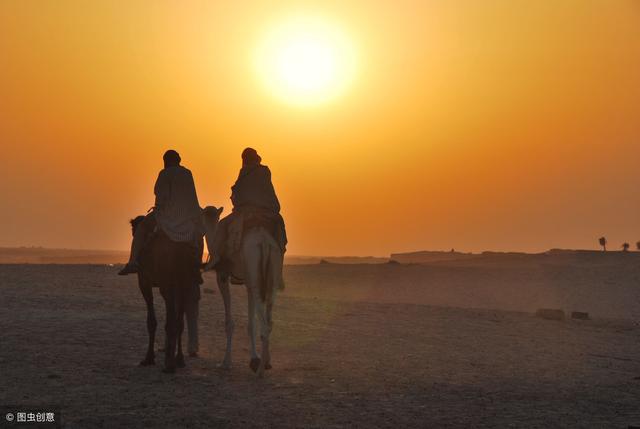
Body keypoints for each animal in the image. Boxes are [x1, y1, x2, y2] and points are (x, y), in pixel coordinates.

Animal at [202, 208, 284, 378]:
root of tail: (264, 243)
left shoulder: (222, 276)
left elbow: (229, 322)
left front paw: (225, 362)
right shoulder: (248, 283)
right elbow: (251, 323)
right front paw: (254, 359)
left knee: (265, 325)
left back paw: (260, 372)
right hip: (269, 276)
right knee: (269, 321)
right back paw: (266, 363)